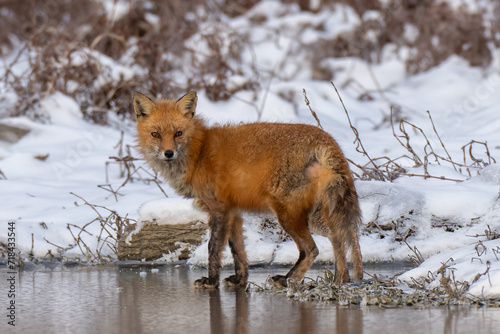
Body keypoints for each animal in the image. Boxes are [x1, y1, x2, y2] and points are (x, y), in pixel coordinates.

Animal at [133, 92, 362, 290]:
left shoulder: (219, 209)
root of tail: (327, 140)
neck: (199, 152)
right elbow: (238, 251)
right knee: (339, 238)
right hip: (315, 216)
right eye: (156, 134)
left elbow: (213, 248)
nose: (168, 153)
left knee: (312, 249)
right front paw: (239, 280)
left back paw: (288, 279)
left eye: (178, 133)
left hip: (287, 215)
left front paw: (211, 281)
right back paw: (340, 281)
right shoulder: (234, 212)